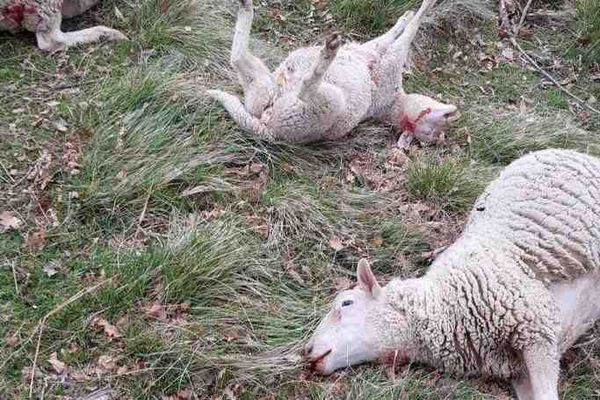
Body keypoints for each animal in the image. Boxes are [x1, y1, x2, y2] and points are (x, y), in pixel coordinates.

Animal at [207, 0, 460, 148]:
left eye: (428, 132)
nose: (452, 112)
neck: (395, 103)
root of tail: (267, 128)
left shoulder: (389, 62)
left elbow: (407, 35)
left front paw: (423, 7)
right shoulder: (369, 51)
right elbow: (390, 37)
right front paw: (405, 16)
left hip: (319, 104)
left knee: (306, 87)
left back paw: (327, 53)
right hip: (264, 89)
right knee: (237, 57)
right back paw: (246, 8)